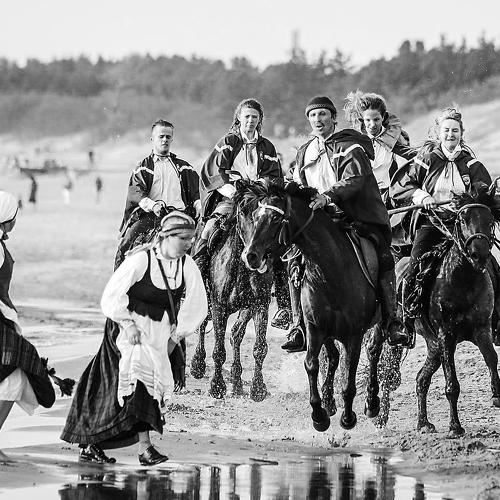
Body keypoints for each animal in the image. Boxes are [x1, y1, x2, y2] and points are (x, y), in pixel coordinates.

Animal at [190, 182, 278, 402]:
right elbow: (219, 350)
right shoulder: (218, 306)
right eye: (242, 211)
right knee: (203, 325)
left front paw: (258, 388)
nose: (253, 254)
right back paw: (198, 364)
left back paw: (237, 382)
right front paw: (217, 386)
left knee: (236, 334)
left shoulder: (259, 305)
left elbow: (259, 347)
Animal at [238, 180, 384, 431]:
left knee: (373, 351)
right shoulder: (315, 329)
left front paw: (348, 418)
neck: (332, 270)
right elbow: (312, 364)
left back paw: (372, 401)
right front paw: (319, 414)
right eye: (255, 216)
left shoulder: (354, 336)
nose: (250, 256)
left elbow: (349, 377)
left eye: (275, 218)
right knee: (333, 357)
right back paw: (329, 400)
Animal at [405, 190, 500, 435]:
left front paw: (496, 395)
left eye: (490, 220)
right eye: (463, 220)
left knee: (421, 379)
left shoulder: (481, 329)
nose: (479, 255)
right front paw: (455, 427)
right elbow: (452, 384)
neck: (462, 279)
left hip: (433, 346)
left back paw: (423, 423)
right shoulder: (446, 335)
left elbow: (491, 358)